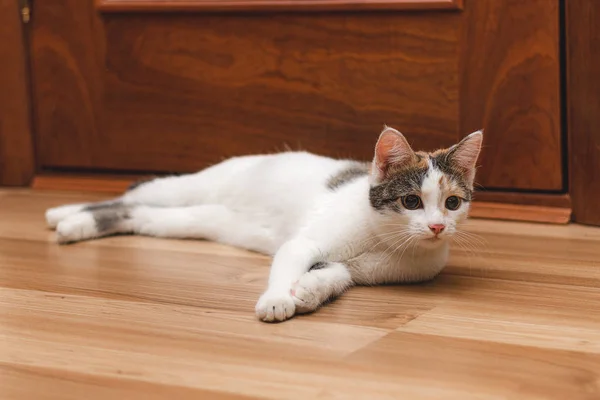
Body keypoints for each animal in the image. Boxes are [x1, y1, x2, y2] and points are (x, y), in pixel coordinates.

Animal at [44, 127, 482, 322]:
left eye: (452, 203)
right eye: (411, 201)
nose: (437, 227)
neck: (384, 240)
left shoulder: (359, 270)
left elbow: (335, 273)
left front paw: (309, 291)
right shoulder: (302, 242)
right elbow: (289, 262)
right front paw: (277, 299)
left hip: (197, 219)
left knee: (139, 214)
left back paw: (76, 223)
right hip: (189, 188)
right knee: (134, 192)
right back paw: (63, 214)